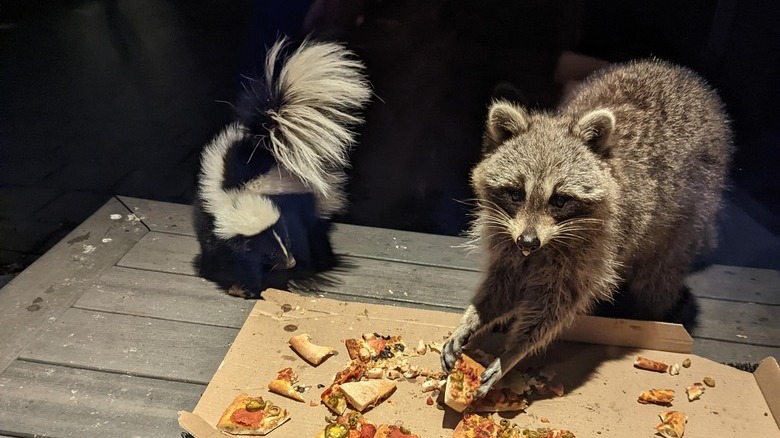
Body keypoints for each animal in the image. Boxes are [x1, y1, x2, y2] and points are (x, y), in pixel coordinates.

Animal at [441, 59, 733, 397]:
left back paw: (650, 310)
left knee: (658, 276)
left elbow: (554, 307)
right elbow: (503, 283)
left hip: (687, 217)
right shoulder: (506, 235)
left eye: (559, 200)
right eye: (515, 193)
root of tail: (681, 73)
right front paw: (475, 316)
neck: (546, 245)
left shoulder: (594, 248)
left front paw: (514, 352)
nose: (528, 241)